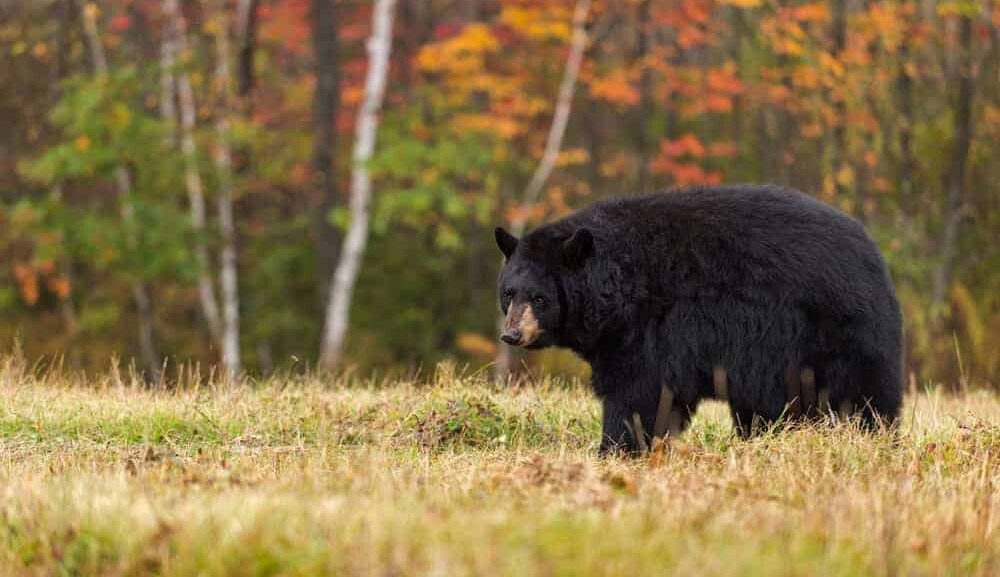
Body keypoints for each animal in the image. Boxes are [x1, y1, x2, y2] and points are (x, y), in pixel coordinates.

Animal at [494, 184, 903, 454]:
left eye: (540, 297)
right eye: (508, 293)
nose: (512, 335)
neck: (618, 287)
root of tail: (873, 255)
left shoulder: (652, 328)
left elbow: (638, 391)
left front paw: (616, 448)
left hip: (830, 333)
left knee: (862, 394)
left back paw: (875, 437)